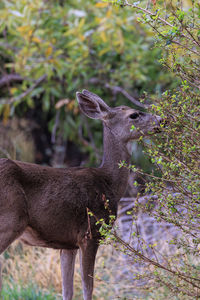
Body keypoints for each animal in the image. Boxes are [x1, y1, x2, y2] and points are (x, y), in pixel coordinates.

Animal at [0, 90, 162, 300]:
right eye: (133, 115)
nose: (161, 120)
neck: (109, 183)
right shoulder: (90, 233)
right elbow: (87, 286)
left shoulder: (68, 244)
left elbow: (67, 290)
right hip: (9, 220)